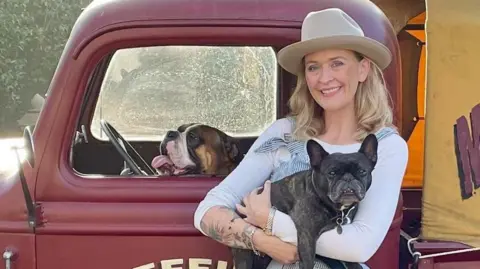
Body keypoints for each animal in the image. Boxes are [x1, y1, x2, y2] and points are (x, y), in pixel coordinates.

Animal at [230, 135, 378, 268]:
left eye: (362, 171)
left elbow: (349, 259)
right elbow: (308, 262)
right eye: (332, 173)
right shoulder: (307, 237)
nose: (348, 178)